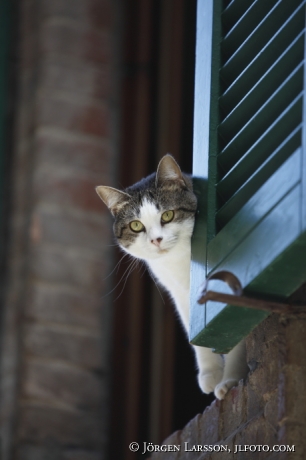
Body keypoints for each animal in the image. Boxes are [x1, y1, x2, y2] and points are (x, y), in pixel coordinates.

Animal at [95, 155, 249, 398]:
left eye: (167, 215)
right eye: (136, 225)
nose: (156, 240)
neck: (180, 261)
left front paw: (231, 380)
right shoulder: (180, 293)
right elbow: (196, 330)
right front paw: (211, 374)